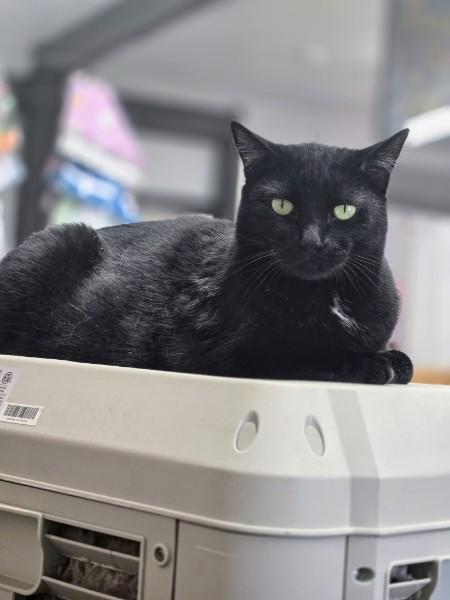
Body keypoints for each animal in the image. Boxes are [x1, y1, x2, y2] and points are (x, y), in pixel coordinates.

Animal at [0, 123, 414, 384]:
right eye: (281, 206)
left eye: (344, 210)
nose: (311, 241)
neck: (329, 298)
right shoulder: (231, 356)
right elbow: (308, 356)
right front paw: (367, 364)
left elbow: (404, 360)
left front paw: (391, 359)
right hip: (64, 239)